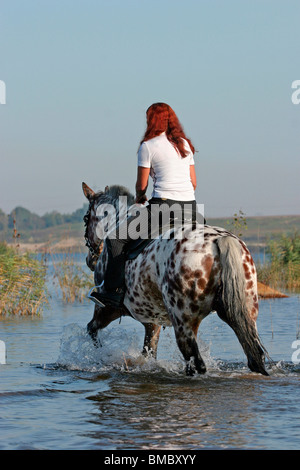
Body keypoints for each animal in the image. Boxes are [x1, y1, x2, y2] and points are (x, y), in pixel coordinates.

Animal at [82, 182, 270, 376]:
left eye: (85, 218)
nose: (90, 260)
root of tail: (220, 240)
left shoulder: (106, 309)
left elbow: (92, 330)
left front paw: (100, 354)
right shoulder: (152, 322)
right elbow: (148, 352)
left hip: (182, 322)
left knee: (196, 363)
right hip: (244, 313)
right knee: (254, 357)